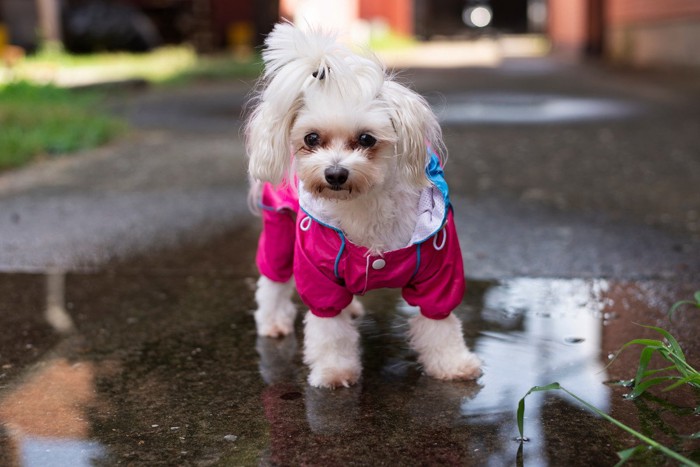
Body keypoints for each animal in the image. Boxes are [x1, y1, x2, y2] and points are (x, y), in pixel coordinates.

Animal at [246, 22, 482, 390]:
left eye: (367, 139)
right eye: (311, 138)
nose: (335, 174)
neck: (363, 205)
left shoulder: (441, 269)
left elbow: (440, 323)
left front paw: (452, 364)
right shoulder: (318, 270)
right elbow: (328, 328)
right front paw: (334, 370)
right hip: (280, 226)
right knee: (273, 278)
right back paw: (272, 322)